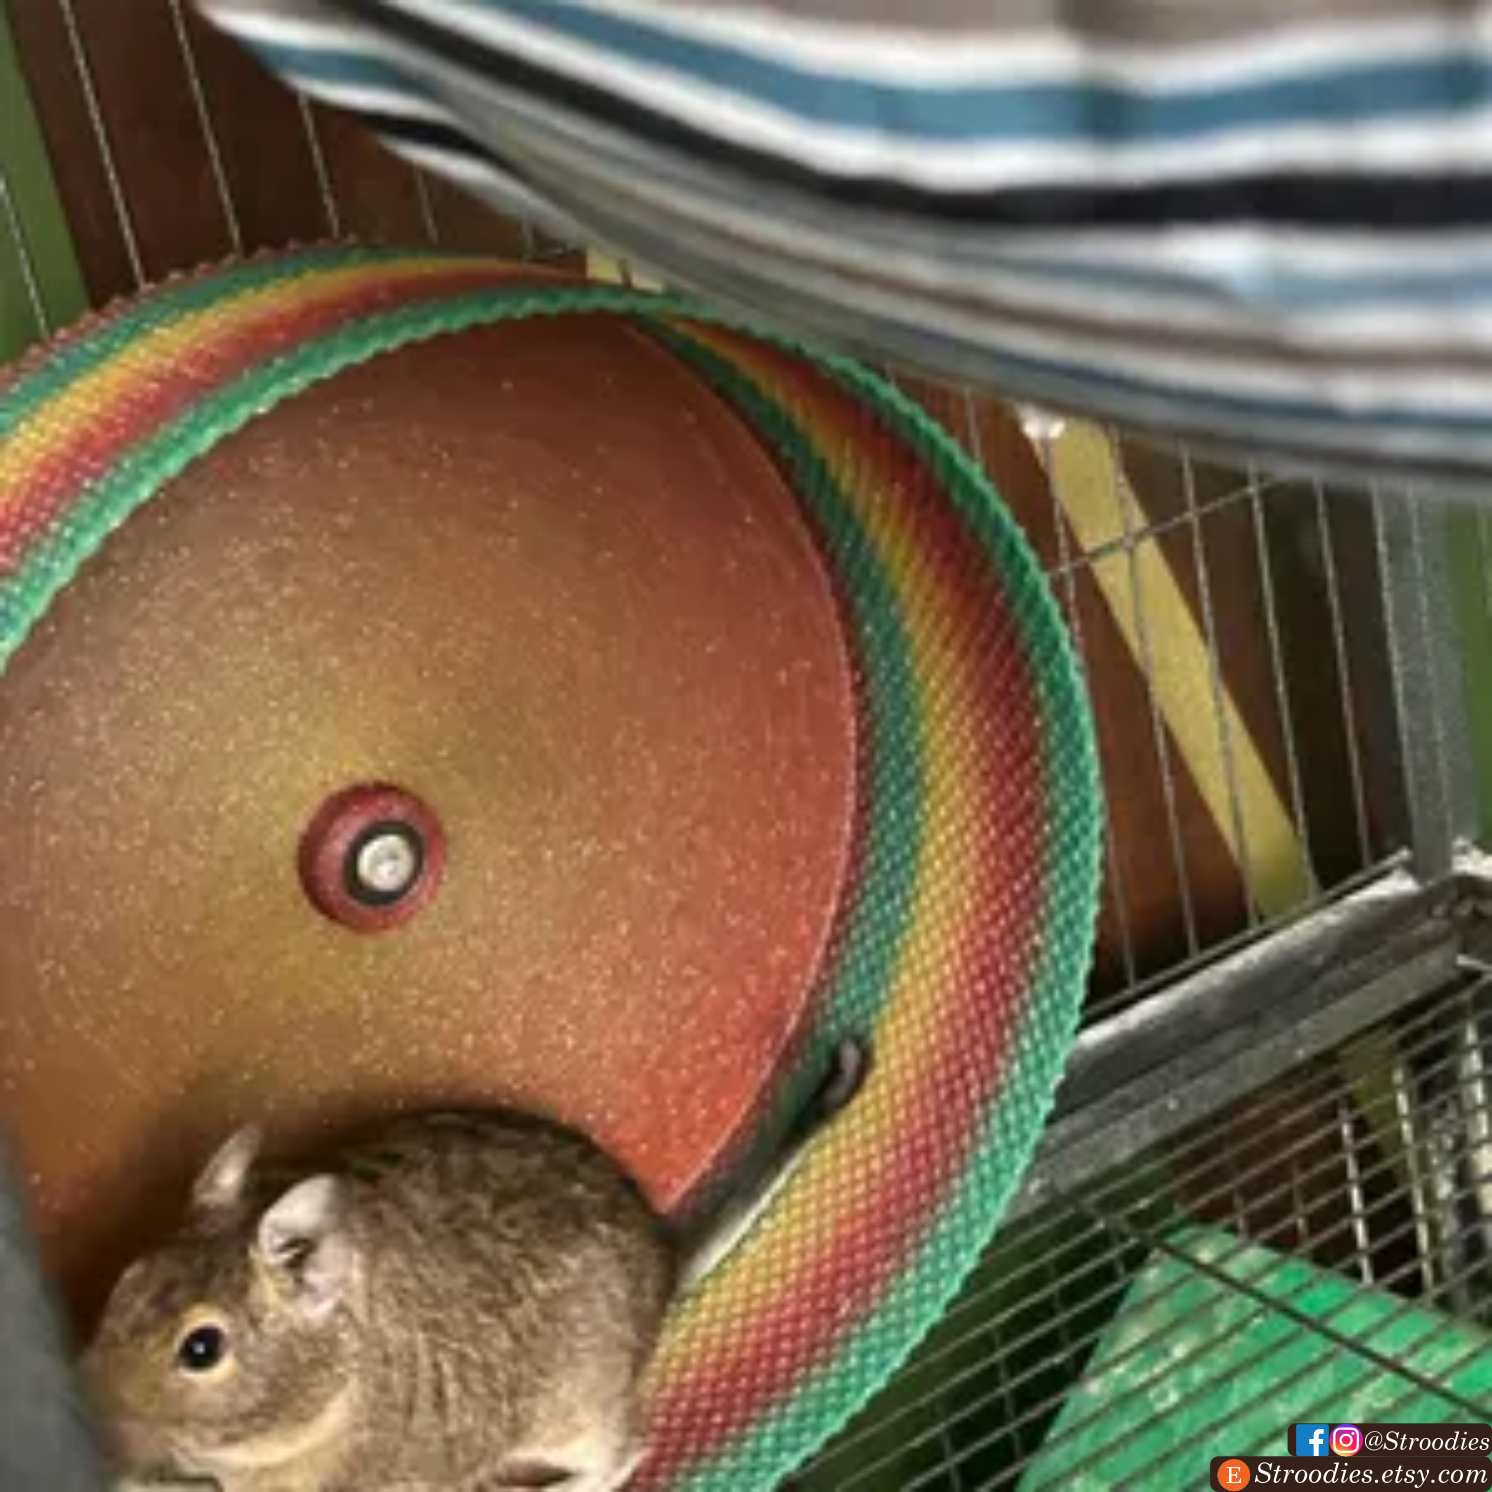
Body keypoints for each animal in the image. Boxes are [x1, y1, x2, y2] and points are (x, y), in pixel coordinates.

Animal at [81, 1039, 868, 1492]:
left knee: (622, 1457)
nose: (88, 1400)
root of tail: (669, 1258)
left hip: (575, 1415)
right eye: (126, 1284)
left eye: (201, 1348)